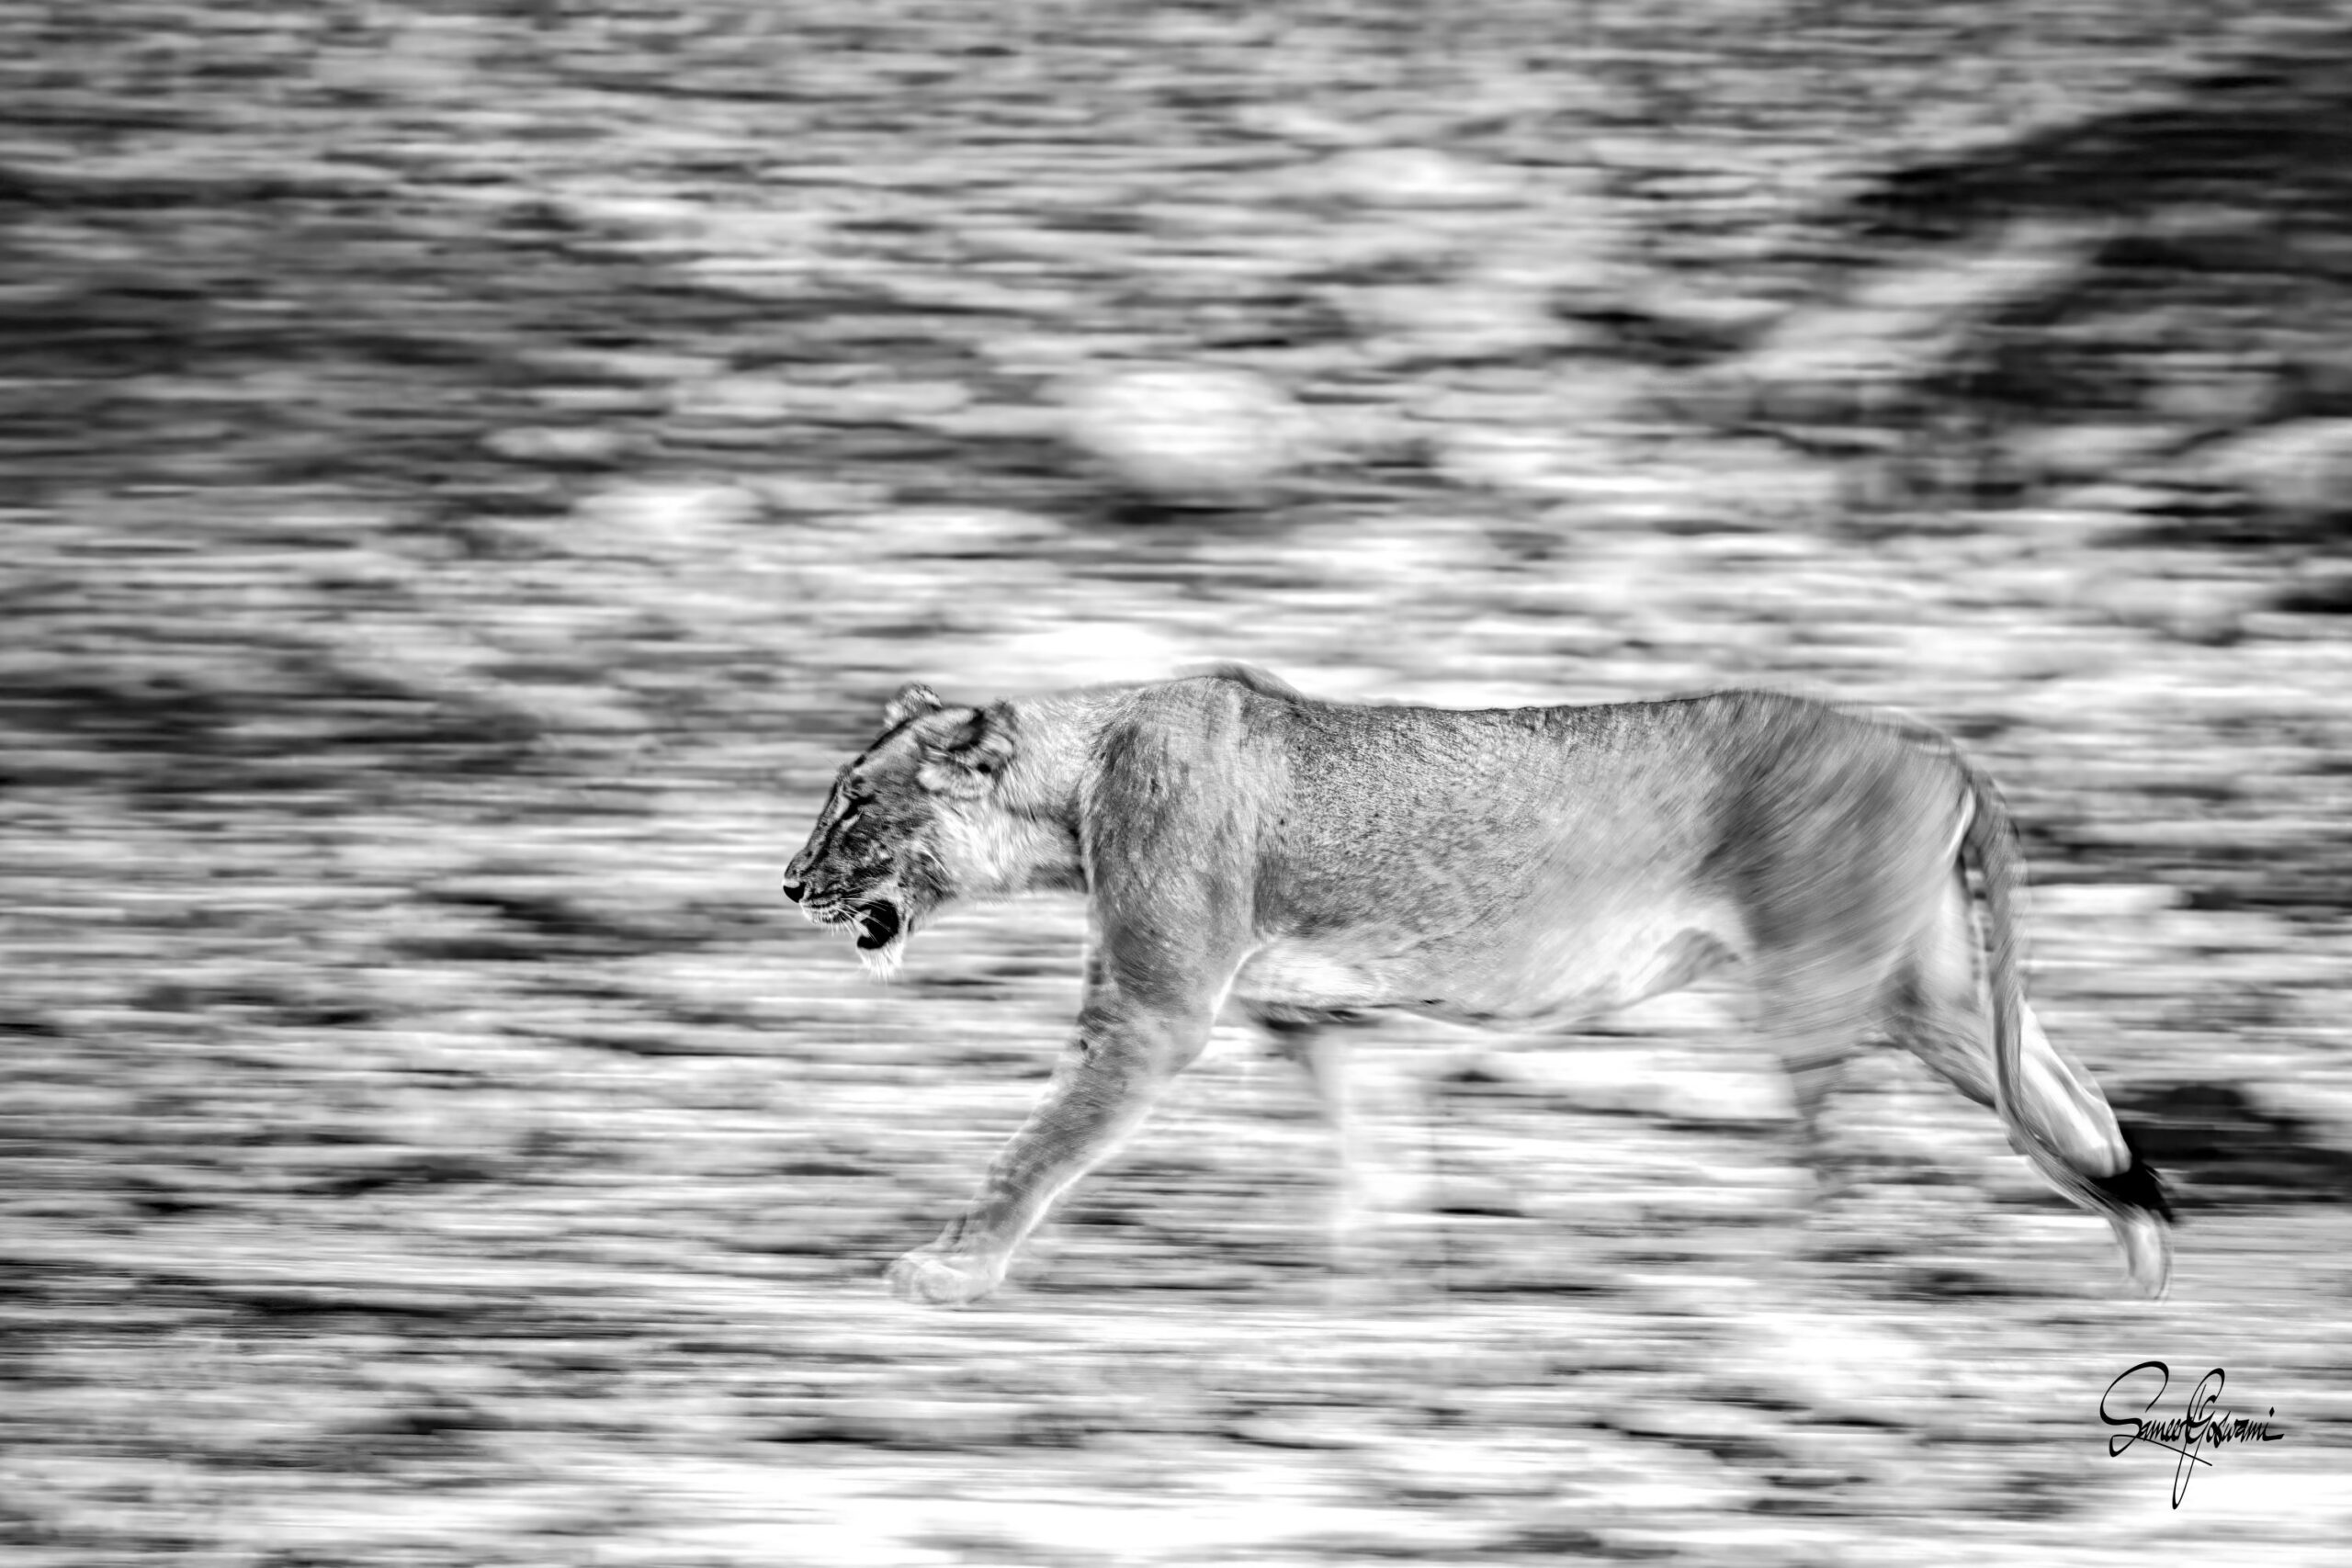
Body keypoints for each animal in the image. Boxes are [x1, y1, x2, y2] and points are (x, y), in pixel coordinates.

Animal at [782, 666, 2172, 1306]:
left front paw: (949, 1269)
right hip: (1924, 989)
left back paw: (1798, 1279)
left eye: (854, 805)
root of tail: (1923, 734)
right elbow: (1370, 1148)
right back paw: (2143, 1268)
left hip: (1818, 984)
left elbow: (1039, 1143)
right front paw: (1373, 1273)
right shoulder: (1315, 1012)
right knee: (2077, 1107)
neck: (1075, 790)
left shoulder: (1155, 1012)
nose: (789, 882)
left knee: (1851, 1154)